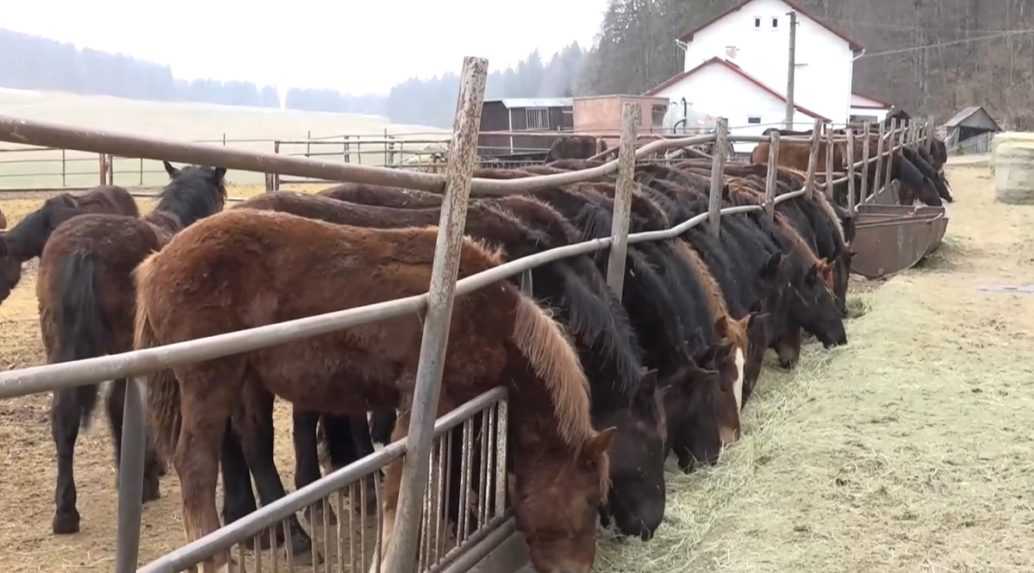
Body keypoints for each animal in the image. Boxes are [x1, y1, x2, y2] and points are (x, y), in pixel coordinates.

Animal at [38, 160, 226, 529]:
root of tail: (84, 249)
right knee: (117, 404)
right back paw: (142, 484)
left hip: (62, 352)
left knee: (64, 416)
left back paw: (66, 512)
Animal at [132, 209, 607, 570]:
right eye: (589, 501)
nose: (580, 569)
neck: (487, 313)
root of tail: (157, 261)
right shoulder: (422, 401)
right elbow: (402, 490)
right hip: (210, 381)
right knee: (196, 467)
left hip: (248, 380)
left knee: (254, 447)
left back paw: (292, 540)